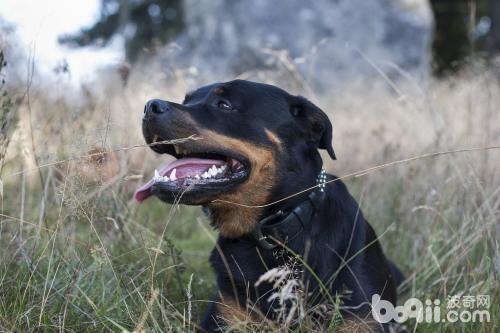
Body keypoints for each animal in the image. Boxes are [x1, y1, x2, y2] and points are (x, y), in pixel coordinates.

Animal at [135, 79, 404, 330]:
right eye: (187, 100)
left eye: (224, 105)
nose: (149, 106)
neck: (277, 233)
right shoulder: (224, 317)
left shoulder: (363, 320)